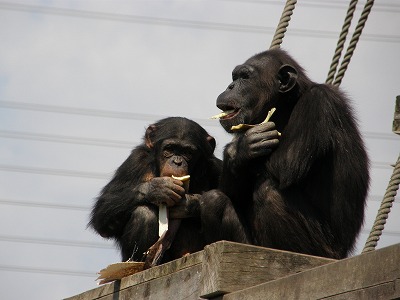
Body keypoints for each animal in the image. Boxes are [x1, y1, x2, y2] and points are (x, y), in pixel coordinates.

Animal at [88, 117, 222, 262]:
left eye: (188, 152)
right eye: (169, 149)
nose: (177, 162)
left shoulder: (215, 167)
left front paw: (190, 203)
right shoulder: (134, 161)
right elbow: (102, 217)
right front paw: (158, 188)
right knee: (144, 214)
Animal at [199, 48, 368, 258]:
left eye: (245, 77)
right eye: (234, 77)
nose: (230, 86)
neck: (286, 106)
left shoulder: (318, 102)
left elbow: (287, 164)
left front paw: (243, 147)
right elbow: (232, 194)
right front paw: (240, 150)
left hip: (325, 250)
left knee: (269, 189)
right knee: (214, 201)